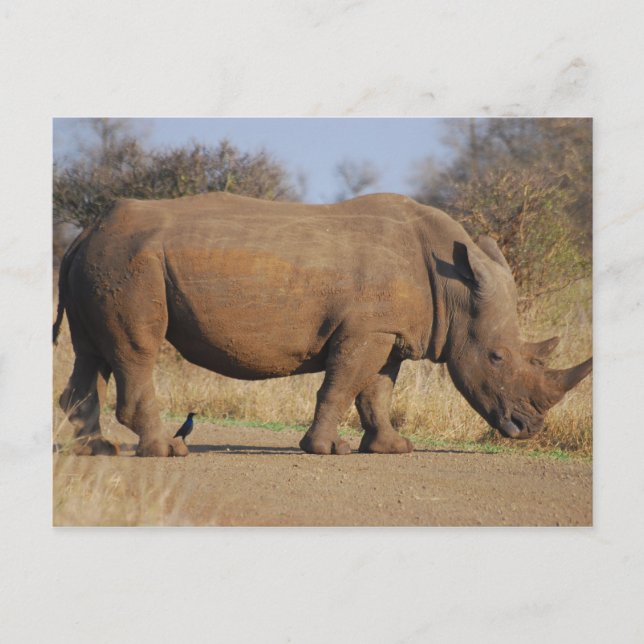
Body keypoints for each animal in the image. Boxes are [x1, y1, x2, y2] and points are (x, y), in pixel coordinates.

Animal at [53, 192, 592, 457]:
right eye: (496, 357)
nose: (529, 429)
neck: (455, 287)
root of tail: (84, 233)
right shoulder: (367, 332)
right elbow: (343, 386)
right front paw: (325, 450)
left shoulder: (386, 332)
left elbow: (376, 393)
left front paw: (391, 449)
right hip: (129, 263)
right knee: (137, 352)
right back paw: (166, 452)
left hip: (103, 261)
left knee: (91, 354)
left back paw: (95, 452)